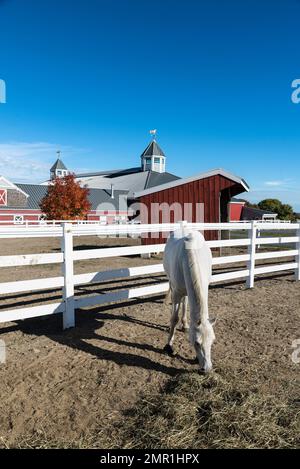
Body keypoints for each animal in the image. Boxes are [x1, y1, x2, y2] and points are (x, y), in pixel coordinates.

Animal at [163, 229, 214, 372]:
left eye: (212, 341)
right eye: (196, 343)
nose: (207, 369)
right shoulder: (176, 293)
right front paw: (169, 346)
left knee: (185, 302)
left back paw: (185, 324)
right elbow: (174, 319)